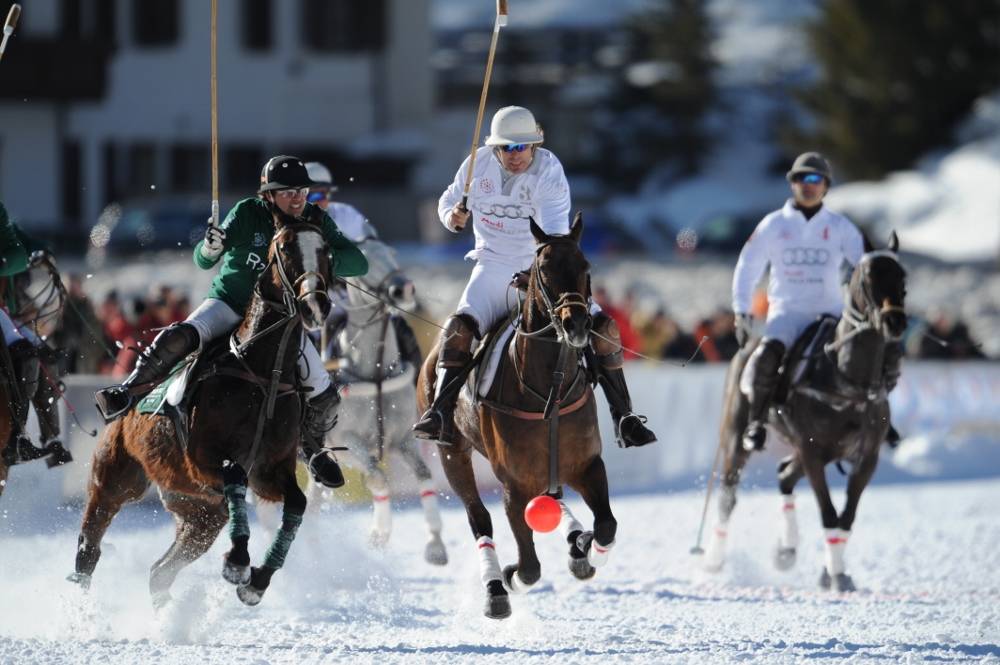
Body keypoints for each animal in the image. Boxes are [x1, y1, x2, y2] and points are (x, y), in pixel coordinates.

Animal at [72, 220, 336, 604]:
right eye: (286, 248)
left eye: (327, 249)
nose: (315, 305)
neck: (262, 372)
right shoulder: (204, 461)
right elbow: (235, 474)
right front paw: (238, 562)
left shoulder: (269, 471)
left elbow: (297, 503)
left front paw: (257, 581)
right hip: (114, 477)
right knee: (89, 546)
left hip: (200, 514)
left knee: (160, 571)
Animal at [326, 236, 448, 564]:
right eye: (363, 260)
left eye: (392, 254)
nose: (403, 289)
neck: (375, 373)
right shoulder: (346, 441)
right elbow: (379, 478)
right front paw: (379, 534)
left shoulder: (402, 439)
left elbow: (423, 474)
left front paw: (435, 544)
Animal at [416, 214, 616, 616]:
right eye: (544, 270)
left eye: (586, 266)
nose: (576, 326)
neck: (551, 387)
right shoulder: (514, 485)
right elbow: (529, 568)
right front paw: (508, 578)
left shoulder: (588, 464)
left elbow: (606, 525)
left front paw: (585, 548)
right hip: (451, 452)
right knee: (479, 518)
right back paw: (495, 588)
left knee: (555, 499)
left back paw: (575, 540)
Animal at [708, 231, 912, 588]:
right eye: (867, 277)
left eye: (903, 277)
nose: (895, 322)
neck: (847, 380)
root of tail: (746, 348)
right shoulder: (812, 451)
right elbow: (829, 512)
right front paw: (837, 575)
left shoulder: (865, 457)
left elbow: (846, 517)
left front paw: (835, 572)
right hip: (737, 437)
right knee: (728, 496)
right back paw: (714, 562)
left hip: (822, 451)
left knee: (784, 475)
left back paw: (786, 550)